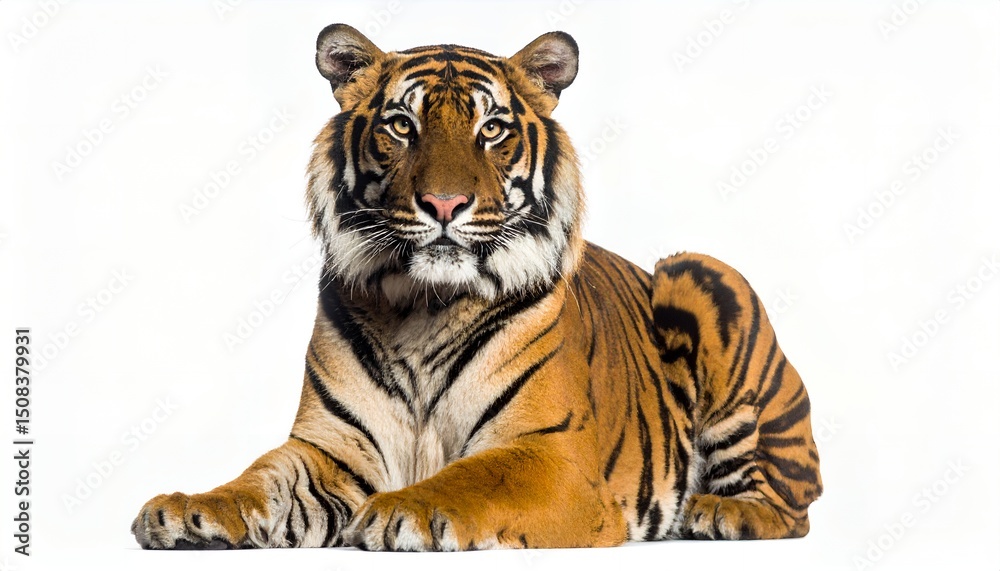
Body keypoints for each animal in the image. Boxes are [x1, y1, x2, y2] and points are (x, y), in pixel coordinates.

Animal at [131, 23, 822, 551]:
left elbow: (473, 477)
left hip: (700, 272)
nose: (444, 203)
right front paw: (187, 509)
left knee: (793, 502)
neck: (421, 307)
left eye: (491, 129)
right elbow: (259, 479)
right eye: (401, 125)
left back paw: (718, 513)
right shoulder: (331, 448)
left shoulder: (550, 453)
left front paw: (400, 510)